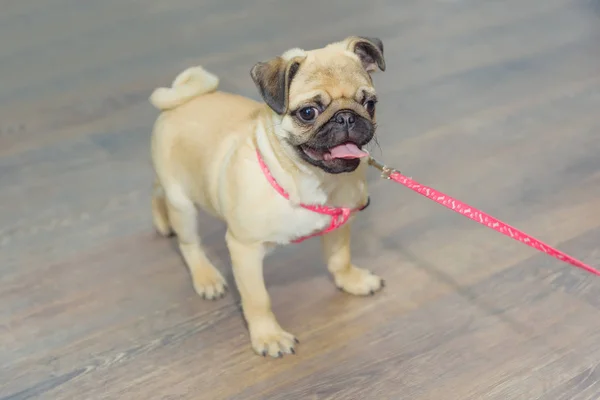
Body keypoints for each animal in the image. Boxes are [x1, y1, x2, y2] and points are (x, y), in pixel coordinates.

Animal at [148, 36, 386, 358]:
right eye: (308, 113)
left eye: (369, 104)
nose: (346, 117)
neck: (311, 180)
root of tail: (183, 100)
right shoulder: (244, 250)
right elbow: (258, 299)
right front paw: (268, 336)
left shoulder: (339, 223)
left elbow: (340, 260)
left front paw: (352, 281)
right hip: (182, 202)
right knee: (189, 243)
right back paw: (205, 276)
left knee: (156, 189)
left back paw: (161, 220)